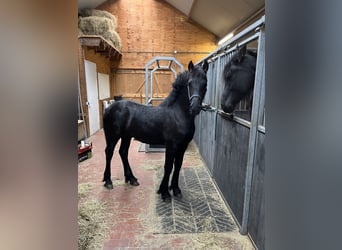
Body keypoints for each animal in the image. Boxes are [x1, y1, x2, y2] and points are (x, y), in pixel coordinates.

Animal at [101, 59, 208, 200]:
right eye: (189, 83)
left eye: (205, 83)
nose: (195, 107)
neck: (178, 113)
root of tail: (109, 108)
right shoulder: (171, 145)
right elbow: (168, 166)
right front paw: (164, 192)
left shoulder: (183, 145)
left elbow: (178, 165)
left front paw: (176, 189)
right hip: (112, 136)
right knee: (109, 153)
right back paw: (108, 181)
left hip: (126, 137)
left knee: (123, 152)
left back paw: (132, 179)